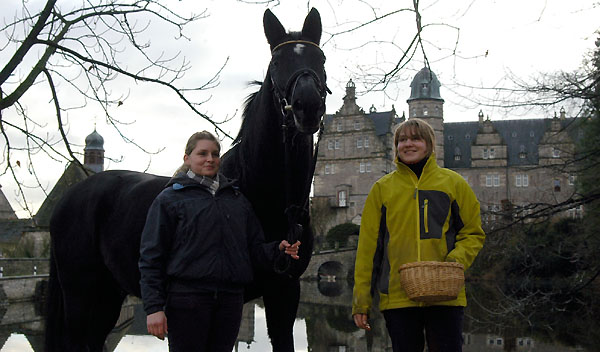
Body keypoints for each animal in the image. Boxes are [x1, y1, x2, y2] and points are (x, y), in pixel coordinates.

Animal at [45, 8, 328, 352]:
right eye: (276, 62)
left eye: (321, 58)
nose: (307, 106)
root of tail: (70, 197)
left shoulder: (284, 291)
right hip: (80, 294)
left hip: (107, 295)